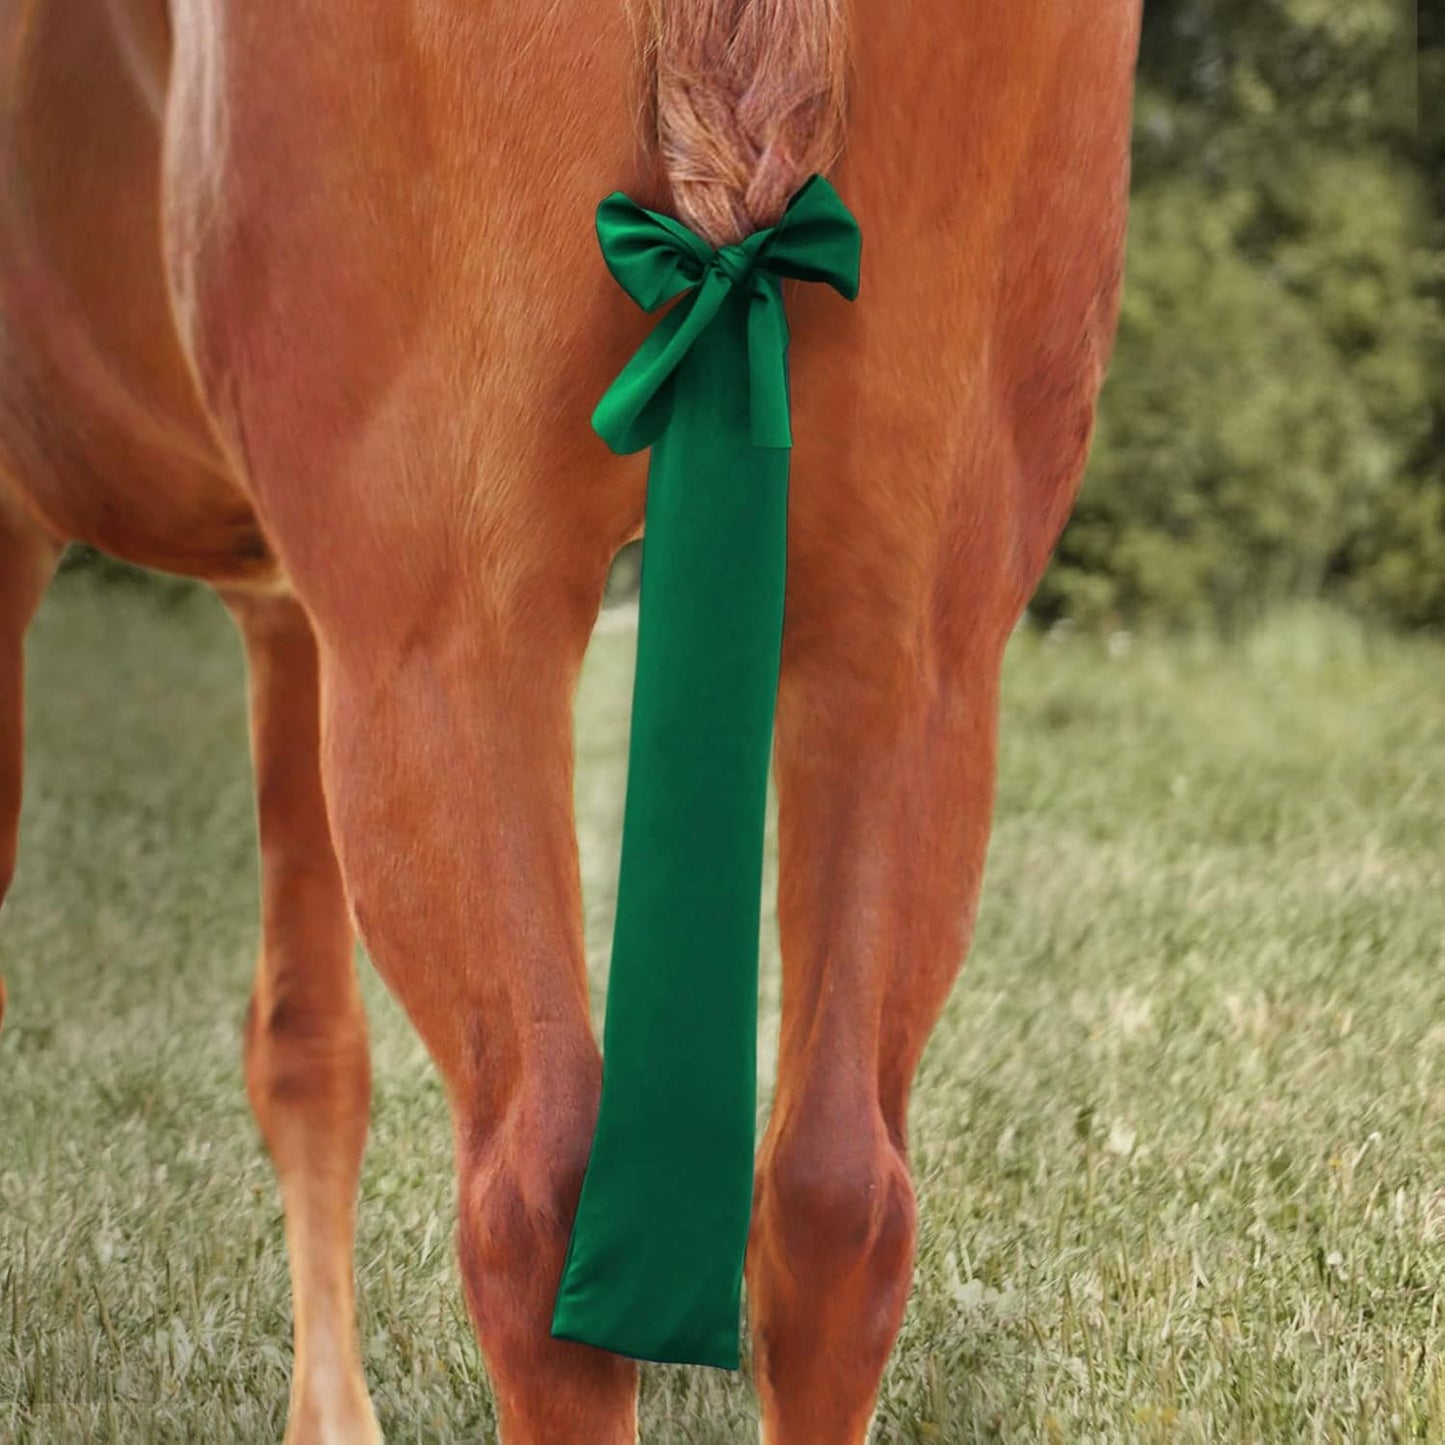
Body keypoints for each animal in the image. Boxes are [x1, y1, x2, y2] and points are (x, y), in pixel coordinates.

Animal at [0, 0, 1141, 1438]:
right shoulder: (287, 616)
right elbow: (309, 1049)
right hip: (911, 646)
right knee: (838, 1199)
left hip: (444, 644)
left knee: (535, 1200)